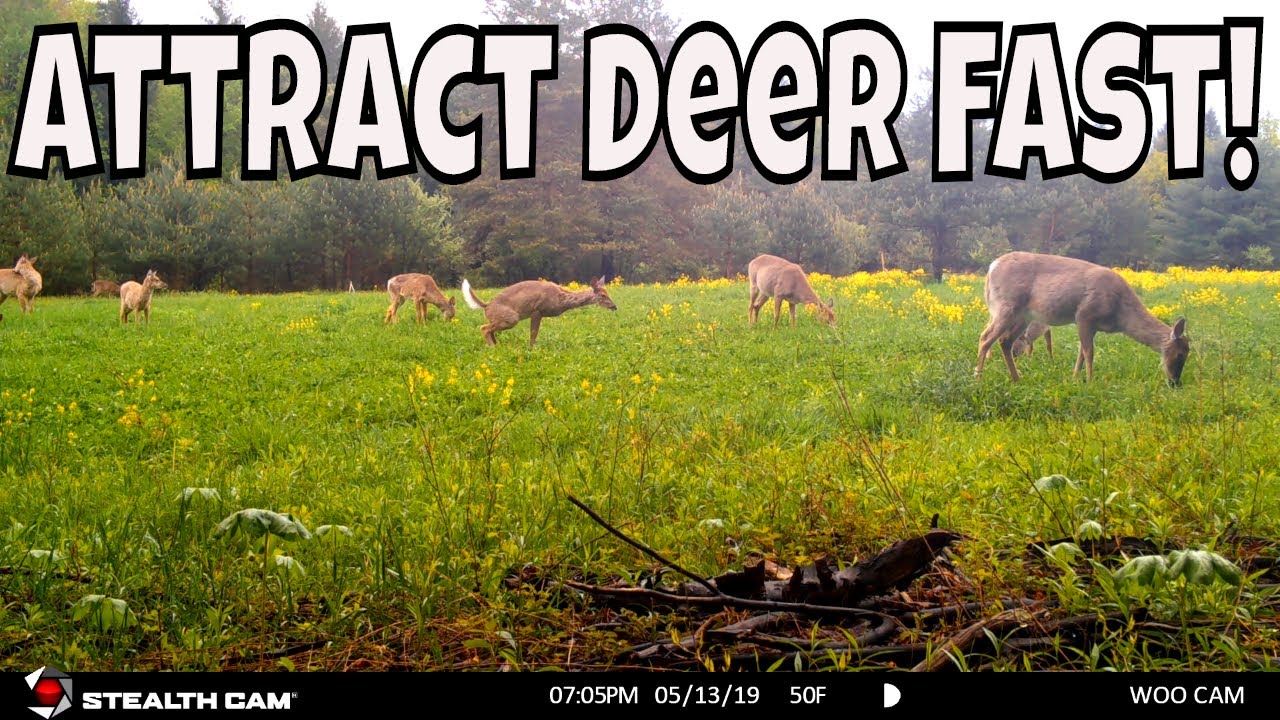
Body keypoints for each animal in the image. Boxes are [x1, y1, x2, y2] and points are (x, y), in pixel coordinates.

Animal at [461, 277, 617, 348]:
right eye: (603, 295)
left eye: (608, 293)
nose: (615, 306)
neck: (561, 299)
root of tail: (486, 305)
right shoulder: (537, 310)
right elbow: (533, 334)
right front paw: (531, 349)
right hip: (512, 317)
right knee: (484, 328)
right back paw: (493, 348)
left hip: (498, 318)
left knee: (490, 330)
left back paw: (497, 346)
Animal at [976, 251, 1189, 385]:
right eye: (1180, 354)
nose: (1175, 382)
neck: (1120, 313)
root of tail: (991, 268)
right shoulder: (1085, 315)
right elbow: (1089, 352)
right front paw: (1090, 381)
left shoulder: (1090, 325)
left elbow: (1081, 351)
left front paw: (1075, 378)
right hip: (1007, 306)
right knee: (986, 337)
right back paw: (978, 378)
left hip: (1023, 316)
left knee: (1005, 341)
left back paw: (1016, 378)